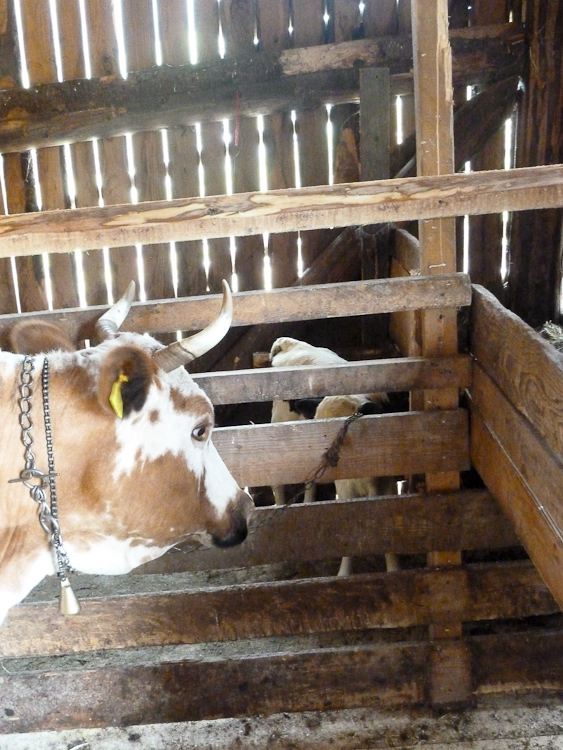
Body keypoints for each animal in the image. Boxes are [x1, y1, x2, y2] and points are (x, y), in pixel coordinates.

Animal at [269, 336, 401, 575]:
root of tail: (290, 343)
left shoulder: (388, 483)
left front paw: (394, 569)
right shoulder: (345, 488)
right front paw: (344, 574)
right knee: (279, 485)